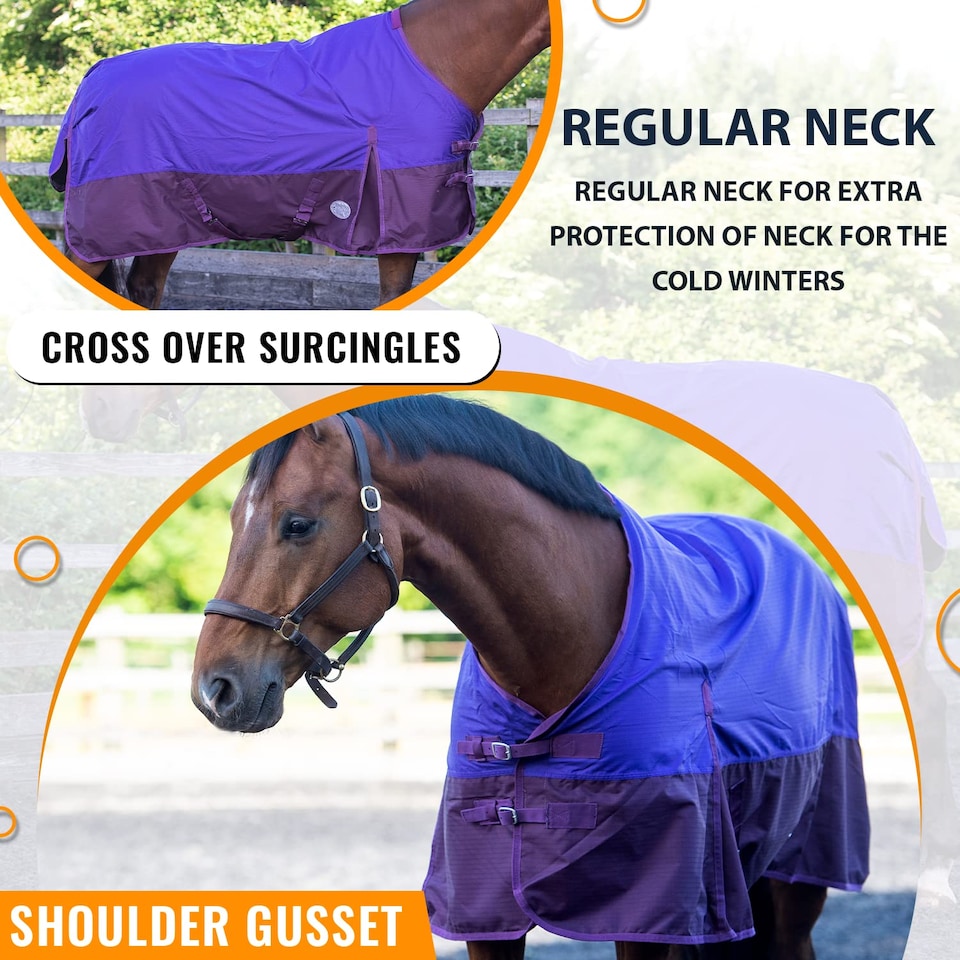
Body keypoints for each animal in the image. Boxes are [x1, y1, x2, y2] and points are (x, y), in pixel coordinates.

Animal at [191, 395, 870, 960]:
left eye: (297, 523)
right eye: (233, 522)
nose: (214, 690)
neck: (563, 650)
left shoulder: (650, 916)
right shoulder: (484, 913)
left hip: (795, 875)